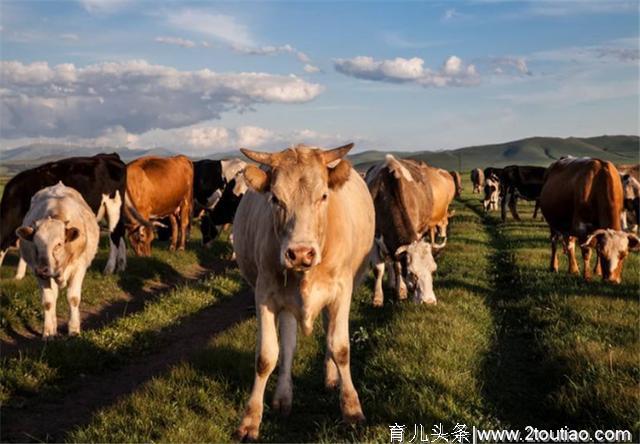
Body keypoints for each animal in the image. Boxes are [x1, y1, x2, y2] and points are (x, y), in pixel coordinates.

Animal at [16, 182, 99, 338]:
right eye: (35, 244)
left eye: (59, 244)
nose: (42, 269)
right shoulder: (38, 272)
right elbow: (48, 302)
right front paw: (48, 331)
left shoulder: (79, 268)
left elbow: (73, 299)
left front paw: (74, 329)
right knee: (53, 297)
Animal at [232, 143, 376, 440]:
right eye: (275, 199)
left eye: (323, 196)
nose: (300, 253)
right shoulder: (265, 294)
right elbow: (266, 356)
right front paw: (250, 420)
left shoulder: (342, 292)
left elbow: (340, 347)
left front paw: (352, 409)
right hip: (286, 304)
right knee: (288, 345)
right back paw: (283, 397)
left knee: (327, 334)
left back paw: (331, 378)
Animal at [364, 155, 450, 306]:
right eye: (412, 273)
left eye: (433, 270)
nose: (428, 302)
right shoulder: (374, 240)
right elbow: (378, 269)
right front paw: (377, 298)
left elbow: (398, 266)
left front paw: (401, 291)